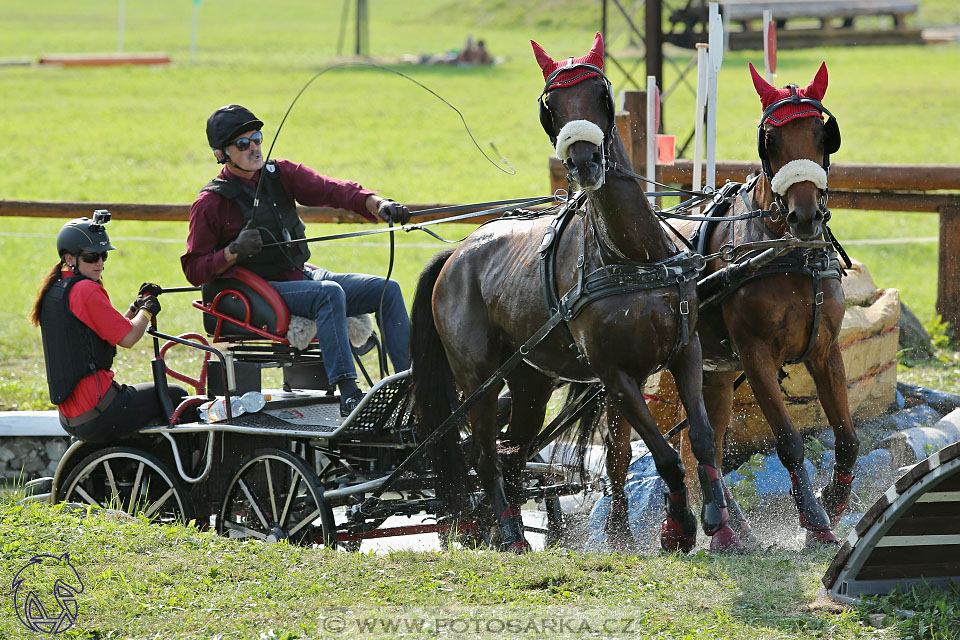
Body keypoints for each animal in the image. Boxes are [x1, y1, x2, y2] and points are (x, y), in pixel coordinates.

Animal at [408, 35, 740, 552]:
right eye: (552, 104)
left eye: (600, 93)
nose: (584, 161)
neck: (633, 256)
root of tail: (458, 254)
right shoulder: (614, 375)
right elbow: (663, 453)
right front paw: (678, 527)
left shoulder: (685, 351)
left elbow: (702, 439)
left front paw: (718, 524)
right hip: (478, 381)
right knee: (484, 455)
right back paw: (509, 534)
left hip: (530, 382)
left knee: (512, 451)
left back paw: (499, 528)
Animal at [672, 62, 852, 544]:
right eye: (770, 141)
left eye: (822, 135)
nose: (805, 217)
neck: (785, 255)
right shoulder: (755, 357)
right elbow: (788, 440)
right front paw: (814, 520)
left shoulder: (825, 350)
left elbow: (847, 438)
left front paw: (834, 500)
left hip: (714, 373)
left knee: (706, 444)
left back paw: (731, 527)